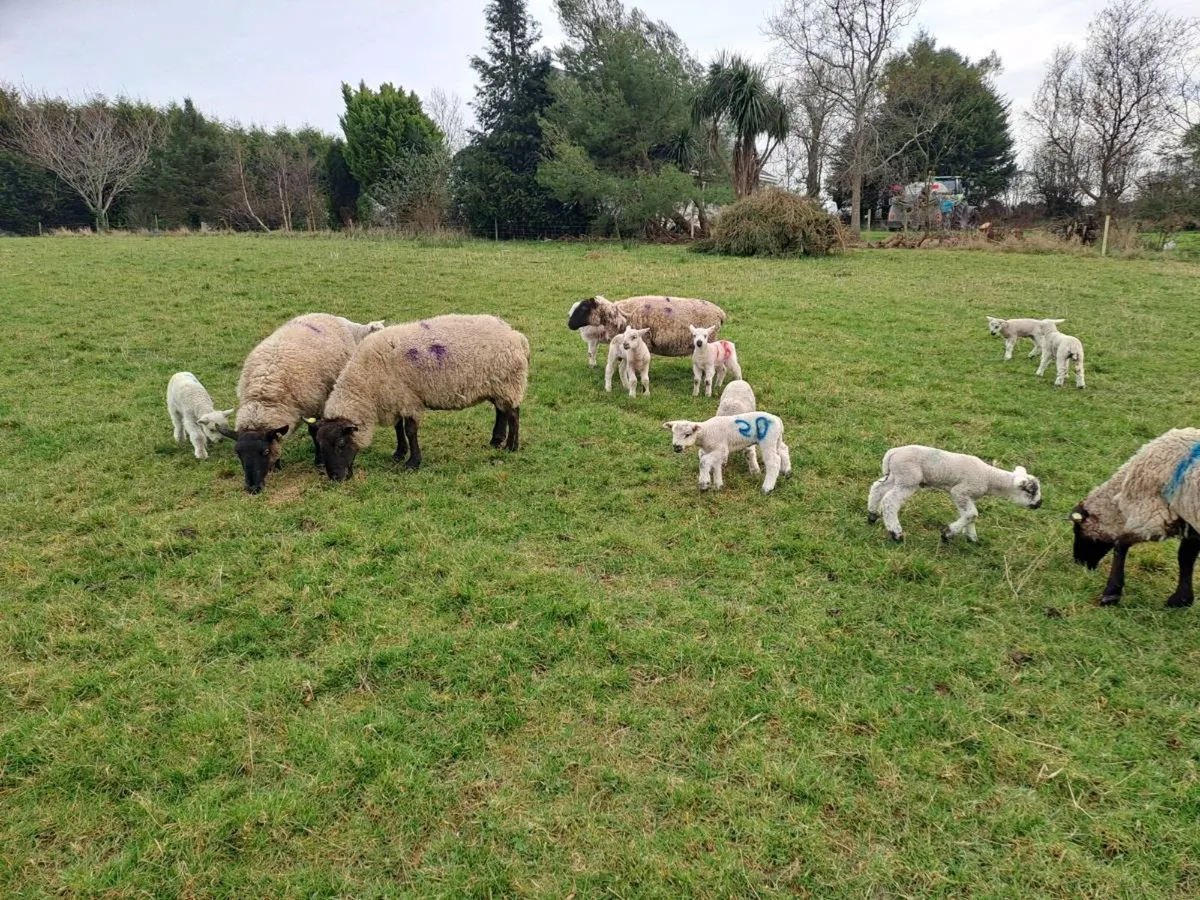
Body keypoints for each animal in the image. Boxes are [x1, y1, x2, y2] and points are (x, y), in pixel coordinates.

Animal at [222, 312, 378, 493]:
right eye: (238, 454)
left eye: (265, 452)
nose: (253, 489)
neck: (264, 395)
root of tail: (322, 314)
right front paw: (276, 466)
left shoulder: (316, 404)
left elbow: (314, 432)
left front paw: (319, 462)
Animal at [313, 314, 530, 480]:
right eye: (320, 446)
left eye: (341, 444)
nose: (336, 478)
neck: (366, 386)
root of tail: (516, 335)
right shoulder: (395, 397)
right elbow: (398, 428)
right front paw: (399, 453)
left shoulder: (409, 400)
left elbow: (410, 431)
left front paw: (413, 462)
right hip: (496, 384)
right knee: (501, 411)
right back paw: (496, 440)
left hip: (509, 382)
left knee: (513, 414)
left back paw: (511, 447)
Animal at [663, 412, 792, 494]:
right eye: (673, 433)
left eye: (688, 434)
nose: (676, 447)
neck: (705, 433)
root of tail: (777, 420)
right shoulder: (714, 451)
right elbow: (715, 466)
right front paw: (718, 485)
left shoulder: (722, 449)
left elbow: (703, 462)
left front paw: (704, 484)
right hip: (776, 439)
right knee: (783, 449)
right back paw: (787, 472)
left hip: (768, 439)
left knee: (773, 462)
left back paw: (767, 488)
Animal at [867, 446, 1043, 542]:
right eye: (1031, 491)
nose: (1039, 504)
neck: (989, 478)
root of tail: (892, 453)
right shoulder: (960, 491)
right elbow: (972, 514)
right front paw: (947, 534)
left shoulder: (968, 497)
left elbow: (970, 515)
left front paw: (972, 538)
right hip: (908, 478)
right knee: (890, 501)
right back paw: (896, 533)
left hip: (895, 475)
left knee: (877, 488)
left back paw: (872, 515)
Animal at [1071, 428, 1200, 608]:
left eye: (1077, 530)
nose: (1079, 563)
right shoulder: (1189, 520)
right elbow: (1186, 557)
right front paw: (1182, 599)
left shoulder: (1153, 514)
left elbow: (1121, 543)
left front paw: (1111, 592)